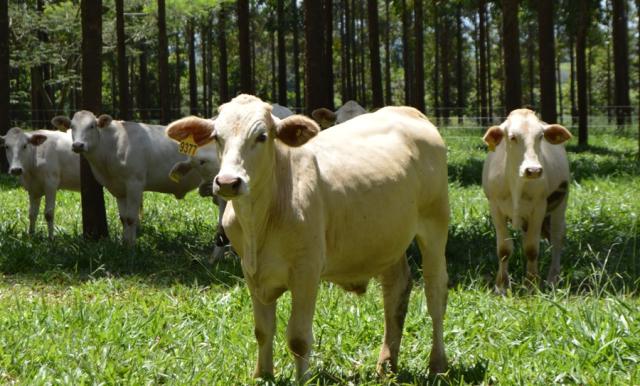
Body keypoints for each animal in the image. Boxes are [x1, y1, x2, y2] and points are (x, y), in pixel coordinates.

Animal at [52, 110, 202, 246]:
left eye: (92, 126)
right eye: (72, 127)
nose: (78, 145)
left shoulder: (135, 183)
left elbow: (131, 218)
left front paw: (131, 246)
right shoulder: (118, 189)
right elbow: (123, 218)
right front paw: (124, 243)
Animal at [165, 95, 450, 382]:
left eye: (262, 136)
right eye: (217, 136)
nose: (227, 182)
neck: (260, 220)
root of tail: (408, 112)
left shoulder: (306, 272)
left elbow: (299, 338)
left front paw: (303, 379)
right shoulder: (251, 271)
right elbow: (262, 330)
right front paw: (262, 375)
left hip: (435, 226)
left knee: (435, 293)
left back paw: (437, 365)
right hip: (387, 240)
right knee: (396, 290)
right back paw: (386, 366)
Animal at [482, 108, 572, 292]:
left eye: (540, 136)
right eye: (512, 137)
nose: (533, 170)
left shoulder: (538, 208)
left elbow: (531, 249)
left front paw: (531, 284)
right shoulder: (495, 207)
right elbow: (504, 250)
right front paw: (501, 286)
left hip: (560, 205)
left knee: (557, 239)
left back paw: (553, 279)